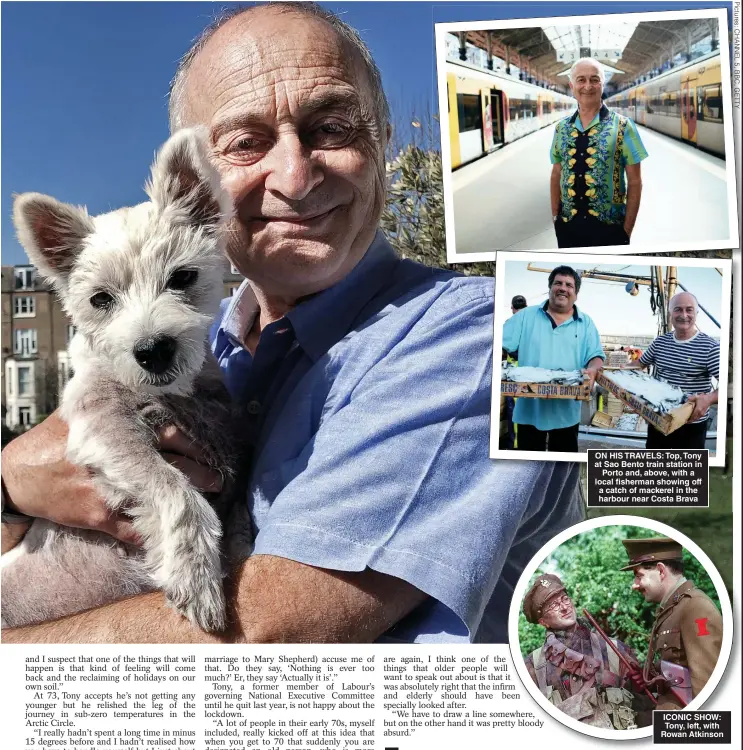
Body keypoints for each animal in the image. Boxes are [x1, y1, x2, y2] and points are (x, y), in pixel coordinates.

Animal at [2, 129, 247, 636]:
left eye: (183, 277)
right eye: (100, 299)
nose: (153, 349)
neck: (168, 394)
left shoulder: (222, 427)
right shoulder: (102, 423)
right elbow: (172, 485)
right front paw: (195, 573)